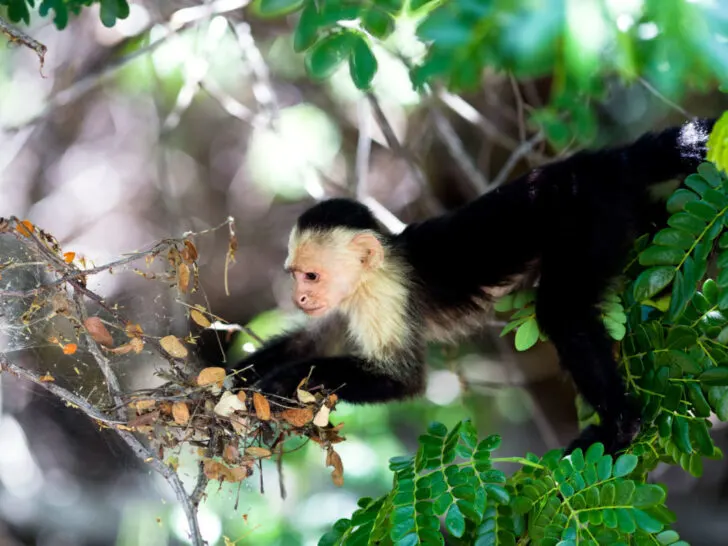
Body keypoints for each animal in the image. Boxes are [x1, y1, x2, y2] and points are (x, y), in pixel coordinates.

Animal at [218, 118, 716, 454]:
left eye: (312, 275)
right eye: (295, 275)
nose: (300, 297)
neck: (369, 275)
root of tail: (595, 164)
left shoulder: (384, 296)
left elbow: (401, 380)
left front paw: (283, 382)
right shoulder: (341, 305)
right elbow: (309, 341)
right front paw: (231, 380)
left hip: (589, 215)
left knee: (560, 311)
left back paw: (620, 426)